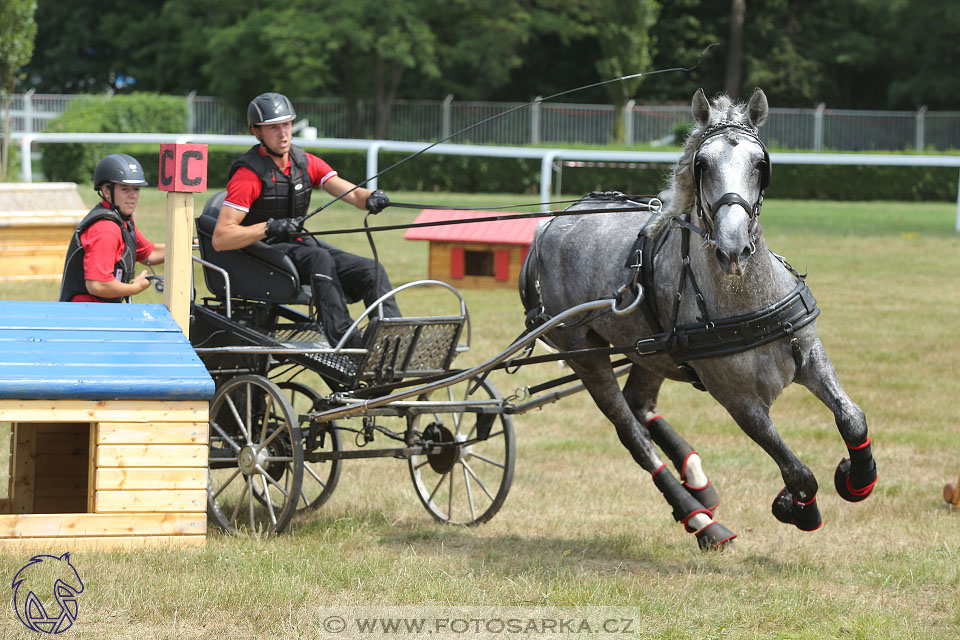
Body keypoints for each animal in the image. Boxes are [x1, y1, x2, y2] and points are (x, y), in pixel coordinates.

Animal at [524, 89, 876, 552]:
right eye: (702, 164)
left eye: (760, 164)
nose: (733, 248)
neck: (744, 301)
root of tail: (547, 227)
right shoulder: (739, 402)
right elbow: (797, 470)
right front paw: (796, 506)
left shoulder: (811, 356)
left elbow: (851, 419)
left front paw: (858, 478)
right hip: (586, 356)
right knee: (632, 433)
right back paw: (701, 519)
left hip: (650, 352)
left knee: (641, 404)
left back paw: (699, 482)